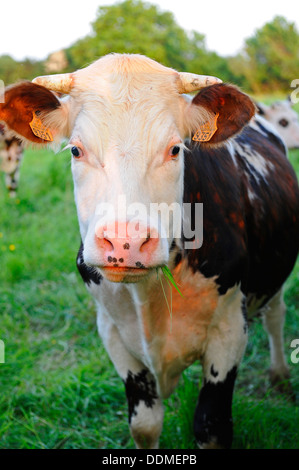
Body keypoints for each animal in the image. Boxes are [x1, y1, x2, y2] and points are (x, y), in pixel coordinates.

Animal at [0, 53, 298, 450]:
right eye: (76, 150)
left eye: (175, 149)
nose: (125, 242)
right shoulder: (112, 331)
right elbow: (144, 425)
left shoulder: (230, 330)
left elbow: (211, 426)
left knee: (276, 316)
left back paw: (280, 374)